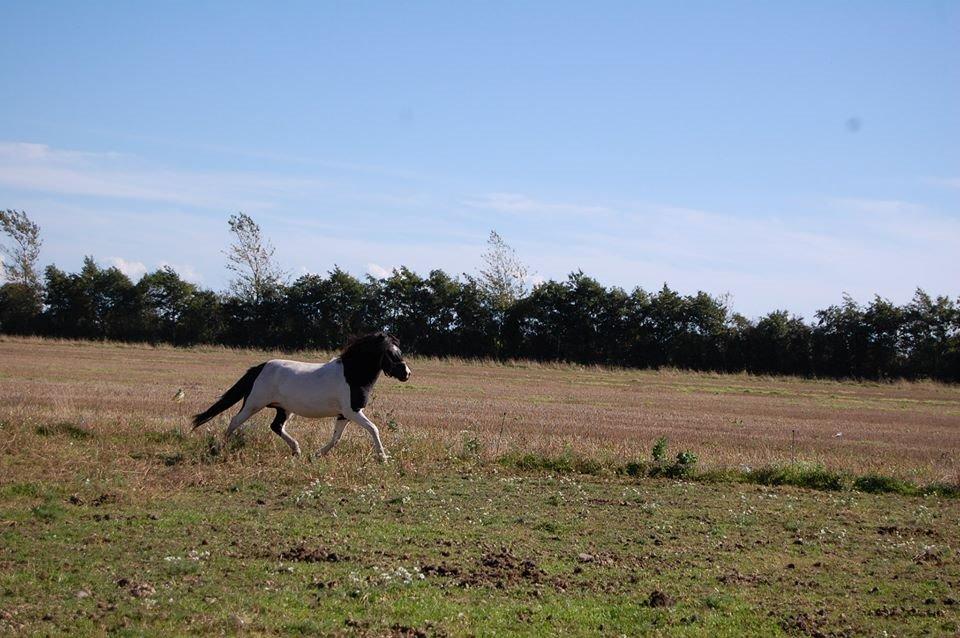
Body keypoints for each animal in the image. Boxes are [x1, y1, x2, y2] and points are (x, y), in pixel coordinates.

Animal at [190, 332, 408, 462]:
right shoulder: (352, 411)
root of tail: (260, 367)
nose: (406, 374)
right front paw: (383, 457)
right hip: (254, 403)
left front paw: (318, 454)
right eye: (391, 354)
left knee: (276, 426)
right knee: (235, 421)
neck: (352, 375)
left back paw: (297, 450)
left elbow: (336, 437)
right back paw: (218, 449)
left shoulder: (344, 414)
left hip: (284, 409)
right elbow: (373, 429)